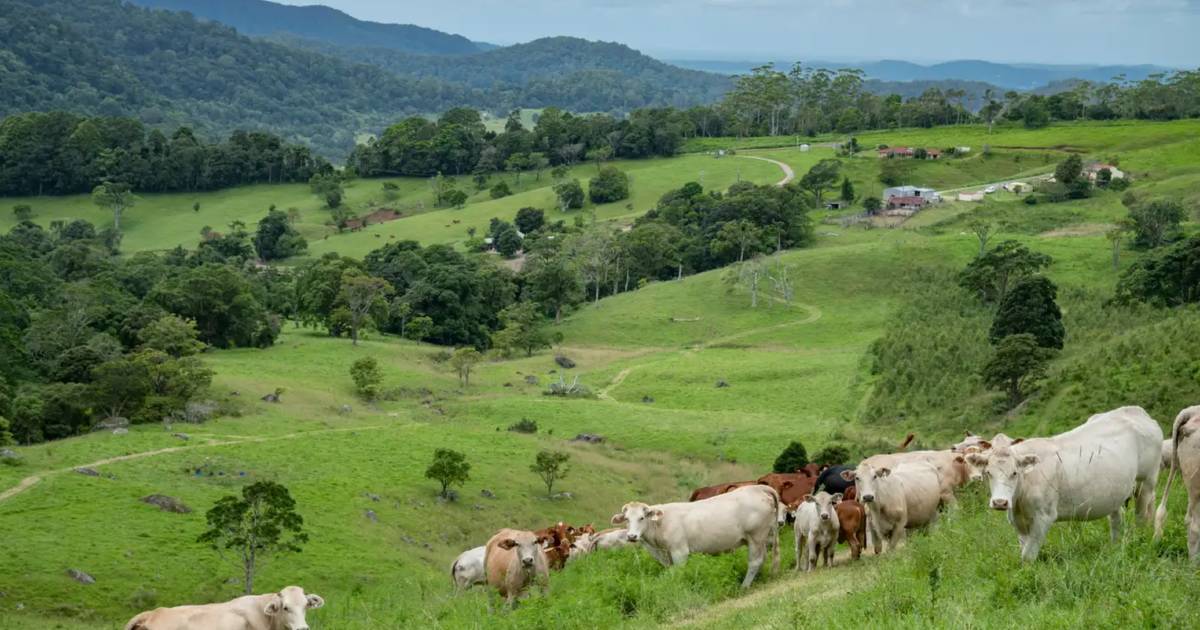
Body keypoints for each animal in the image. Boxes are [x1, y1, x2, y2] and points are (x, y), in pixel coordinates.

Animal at [614, 484, 782, 588]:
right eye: (626, 519)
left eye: (642, 517)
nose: (632, 536)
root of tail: (757, 488)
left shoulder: (679, 551)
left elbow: (679, 573)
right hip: (761, 538)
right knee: (763, 558)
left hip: (756, 536)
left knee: (755, 562)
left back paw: (744, 586)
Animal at [964, 408, 1161, 559]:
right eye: (988, 473)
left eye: (1015, 473)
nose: (1000, 502)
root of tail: (1135, 411)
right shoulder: (1018, 522)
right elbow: (1024, 550)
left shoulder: (1044, 517)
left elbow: (1027, 555)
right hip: (1115, 491)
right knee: (1116, 519)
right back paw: (1115, 546)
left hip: (1146, 482)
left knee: (1141, 515)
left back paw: (1139, 540)